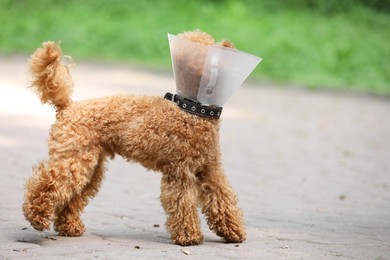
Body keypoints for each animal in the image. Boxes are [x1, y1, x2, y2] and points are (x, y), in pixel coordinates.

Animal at [21, 30, 245, 246]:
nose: (230, 47)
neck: (192, 109)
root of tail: (68, 107)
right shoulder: (180, 171)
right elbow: (183, 202)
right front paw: (189, 236)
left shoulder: (210, 169)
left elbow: (222, 198)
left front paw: (233, 231)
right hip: (73, 159)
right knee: (49, 183)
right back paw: (37, 217)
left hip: (91, 167)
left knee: (72, 196)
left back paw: (68, 226)